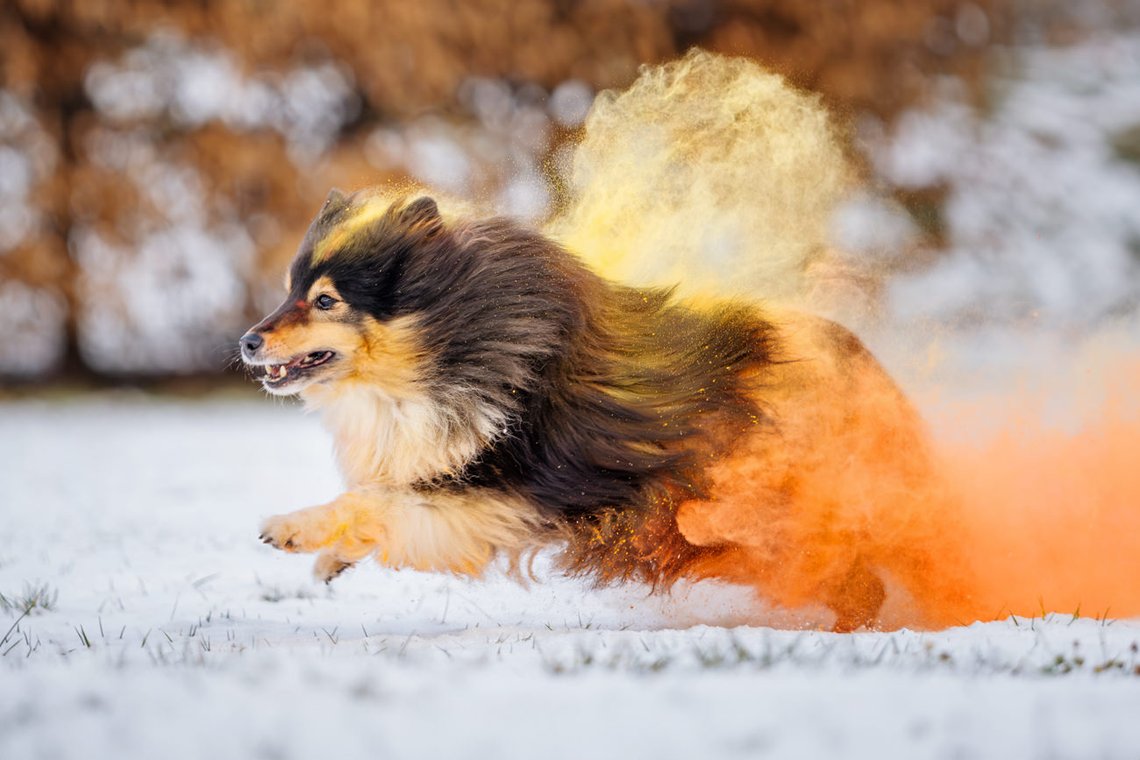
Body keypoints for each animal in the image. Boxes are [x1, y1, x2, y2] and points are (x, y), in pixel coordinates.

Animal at [238, 189, 943, 628]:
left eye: (325, 300)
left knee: (866, 579)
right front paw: (330, 559)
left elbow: (382, 500)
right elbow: (386, 501)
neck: (458, 342)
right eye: (290, 291)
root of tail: (865, 364)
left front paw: (292, 531)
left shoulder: (505, 491)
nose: (247, 340)